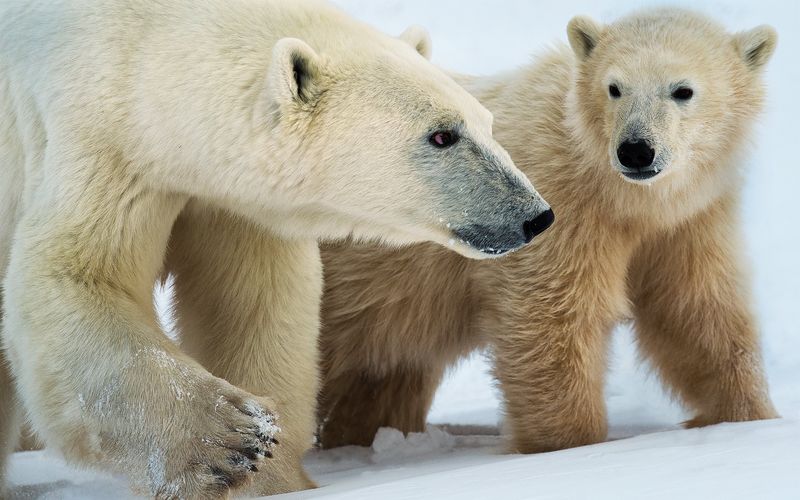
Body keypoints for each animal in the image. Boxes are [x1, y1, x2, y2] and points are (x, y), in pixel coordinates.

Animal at [0, 0, 552, 494]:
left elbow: (255, 304)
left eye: (486, 123)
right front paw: (229, 440)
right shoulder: (100, 146)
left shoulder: (233, 202)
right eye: (441, 135)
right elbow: (75, 277)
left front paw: (273, 477)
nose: (536, 215)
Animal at [318, 7, 776, 452]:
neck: (618, 193)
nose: (635, 150)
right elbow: (553, 317)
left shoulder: (688, 221)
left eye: (683, 90)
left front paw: (748, 416)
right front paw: (570, 443)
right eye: (614, 88)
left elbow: (695, 309)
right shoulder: (556, 207)